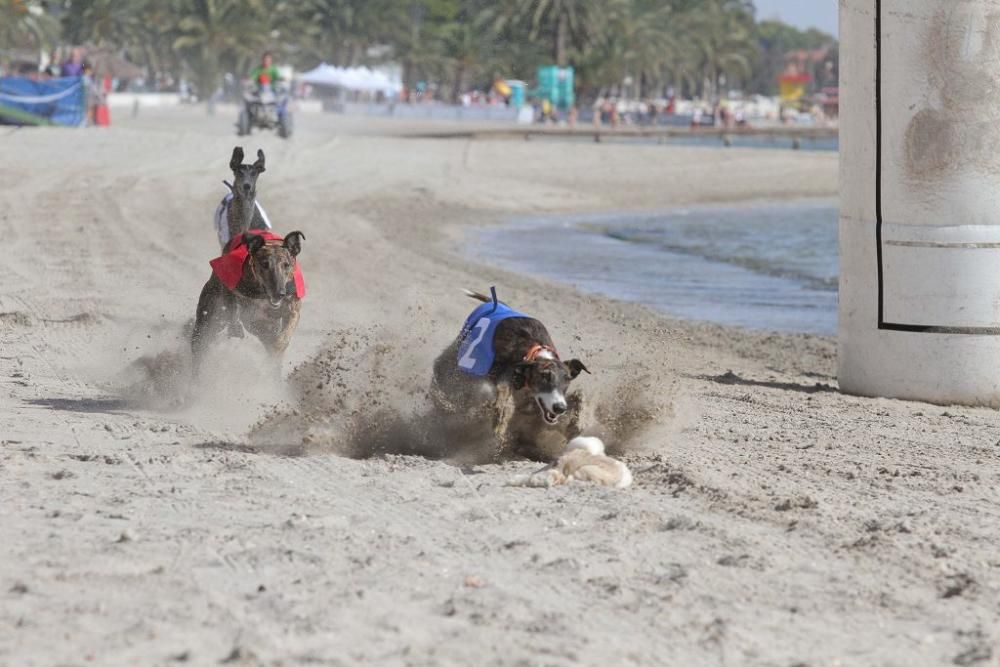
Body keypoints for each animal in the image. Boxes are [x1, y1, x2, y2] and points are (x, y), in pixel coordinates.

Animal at [428, 290, 584, 462]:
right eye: (544, 376)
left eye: (567, 380)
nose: (559, 408)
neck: (533, 351)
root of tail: (495, 303)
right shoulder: (501, 376)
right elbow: (500, 398)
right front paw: (499, 423)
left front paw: (575, 423)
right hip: (458, 351)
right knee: (441, 367)